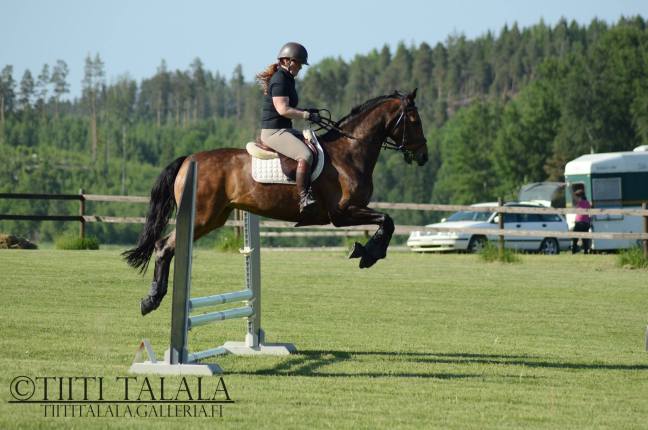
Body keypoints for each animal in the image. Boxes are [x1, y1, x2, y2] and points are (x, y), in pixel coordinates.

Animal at [124, 89, 428, 315]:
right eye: (414, 120)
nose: (424, 156)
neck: (349, 153)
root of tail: (189, 159)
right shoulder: (342, 213)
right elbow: (387, 221)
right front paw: (368, 254)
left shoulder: (348, 213)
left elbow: (387, 221)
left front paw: (366, 251)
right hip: (201, 217)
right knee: (164, 246)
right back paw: (152, 299)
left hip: (213, 217)